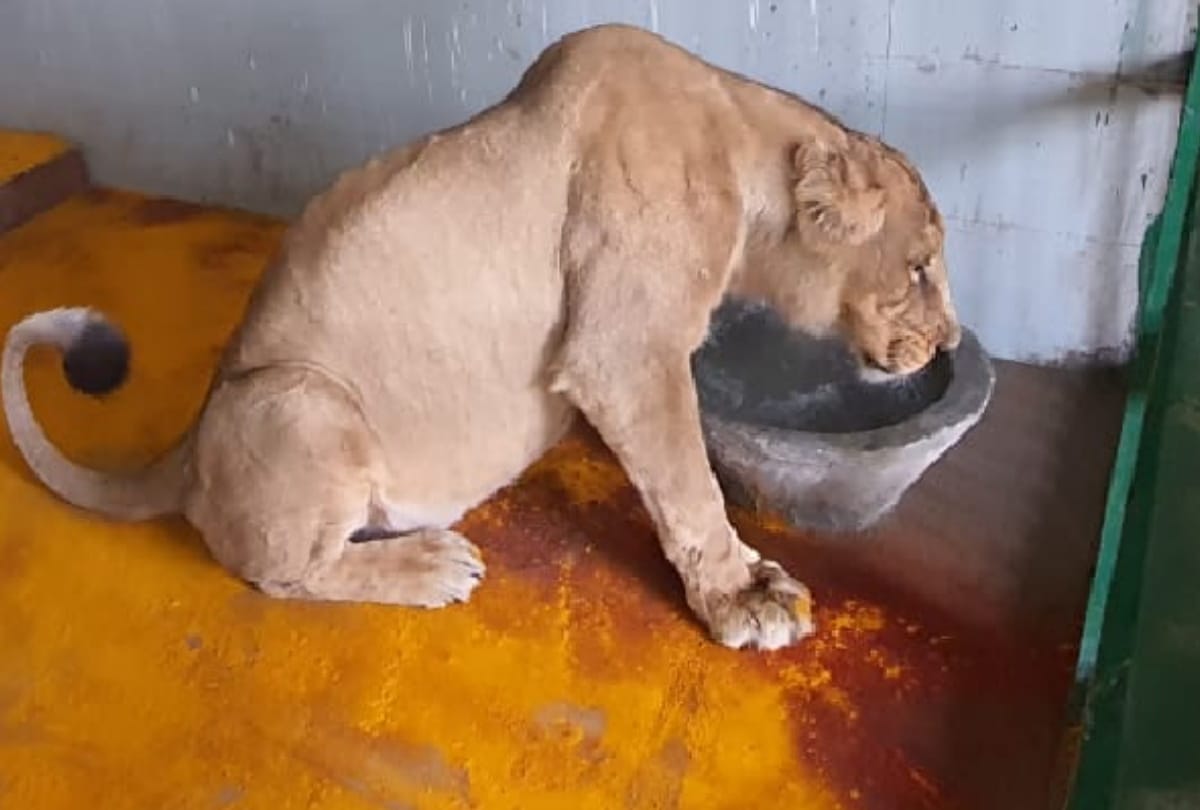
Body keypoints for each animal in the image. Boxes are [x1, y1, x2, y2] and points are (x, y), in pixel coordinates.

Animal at [2, 24, 958, 650]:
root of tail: (189, 446)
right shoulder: (625, 355)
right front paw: (741, 597)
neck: (741, 143)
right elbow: (690, 487)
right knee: (280, 572)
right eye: (919, 268)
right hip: (296, 397)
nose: (949, 342)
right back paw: (428, 565)